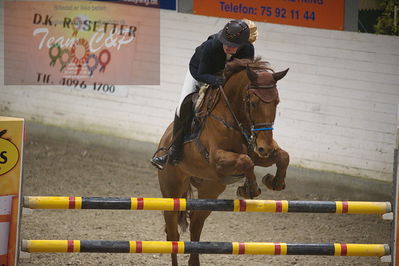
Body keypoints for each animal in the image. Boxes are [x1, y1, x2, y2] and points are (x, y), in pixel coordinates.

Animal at [155, 58, 290, 266]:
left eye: (277, 102)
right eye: (253, 103)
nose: (265, 147)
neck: (235, 116)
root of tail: (164, 140)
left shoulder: (257, 152)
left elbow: (282, 156)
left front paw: (274, 182)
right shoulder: (218, 159)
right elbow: (246, 161)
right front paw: (251, 189)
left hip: (210, 190)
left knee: (196, 223)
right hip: (172, 192)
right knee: (173, 235)